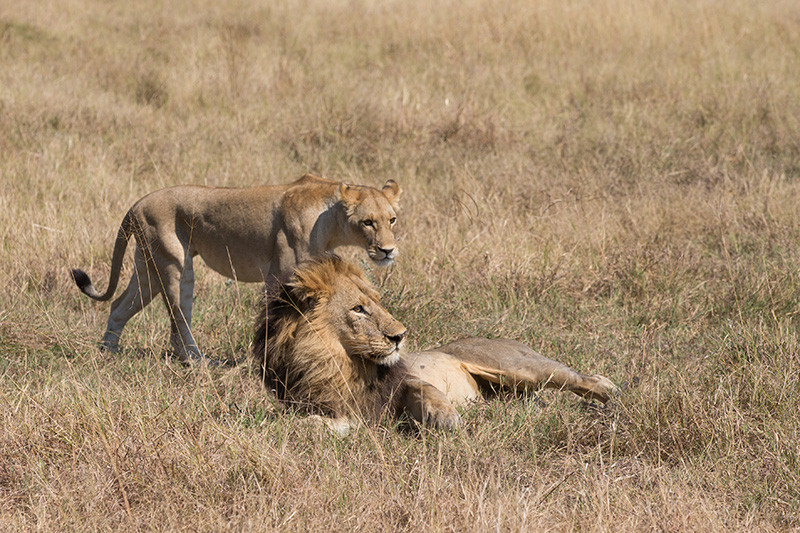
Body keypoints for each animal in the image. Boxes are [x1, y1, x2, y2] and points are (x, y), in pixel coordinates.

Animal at [71, 174, 401, 360]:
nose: (388, 250)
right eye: (367, 222)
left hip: (148, 266)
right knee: (179, 319)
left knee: (119, 306)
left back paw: (108, 356)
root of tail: (137, 203)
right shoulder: (277, 274)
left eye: (392, 219)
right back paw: (198, 362)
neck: (330, 219)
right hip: (175, 264)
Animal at [253, 255, 618, 435]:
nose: (400, 335)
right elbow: (306, 425)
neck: (335, 360)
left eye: (376, 302)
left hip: (514, 365)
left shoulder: (406, 382)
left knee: (580, 378)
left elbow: (426, 393)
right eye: (358, 308)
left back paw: (614, 396)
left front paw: (448, 420)